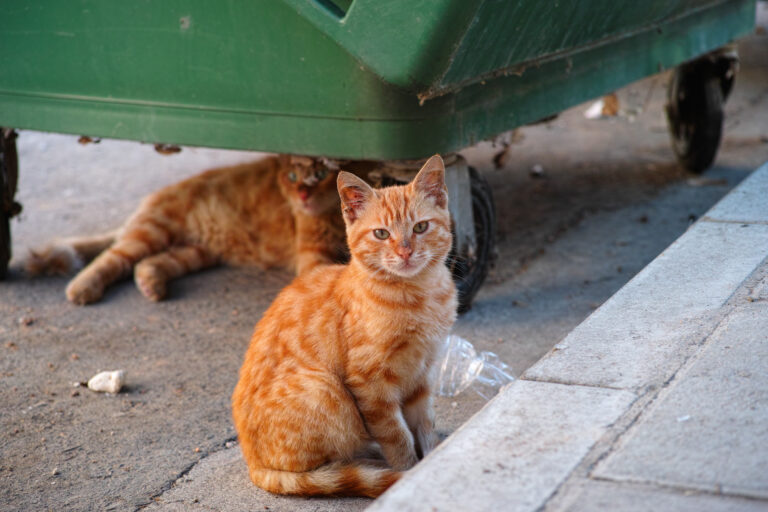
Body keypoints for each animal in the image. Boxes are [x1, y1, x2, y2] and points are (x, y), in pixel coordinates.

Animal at [24, 156, 348, 304]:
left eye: (321, 174)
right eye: (293, 176)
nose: (303, 196)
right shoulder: (313, 256)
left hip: (196, 251)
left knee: (147, 263)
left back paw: (151, 284)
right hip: (153, 231)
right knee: (113, 257)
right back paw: (82, 287)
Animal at [228, 154, 456, 498]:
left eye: (420, 227)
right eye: (381, 234)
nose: (405, 251)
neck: (420, 294)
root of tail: (252, 462)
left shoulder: (423, 373)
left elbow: (425, 426)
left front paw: (431, 459)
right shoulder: (370, 384)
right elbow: (397, 435)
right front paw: (408, 472)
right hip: (327, 392)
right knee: (323, 465)